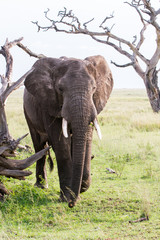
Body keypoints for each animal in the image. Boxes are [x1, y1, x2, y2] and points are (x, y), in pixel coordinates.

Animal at [23, 54, 114, 206]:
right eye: (60, 89)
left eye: (94, 88)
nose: (71, 205)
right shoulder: (50, 103)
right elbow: (61, 144)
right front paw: (67, 197)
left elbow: (86, 140)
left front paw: (80, 189)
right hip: (28, 112)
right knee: (39, 146)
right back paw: (41, 186)